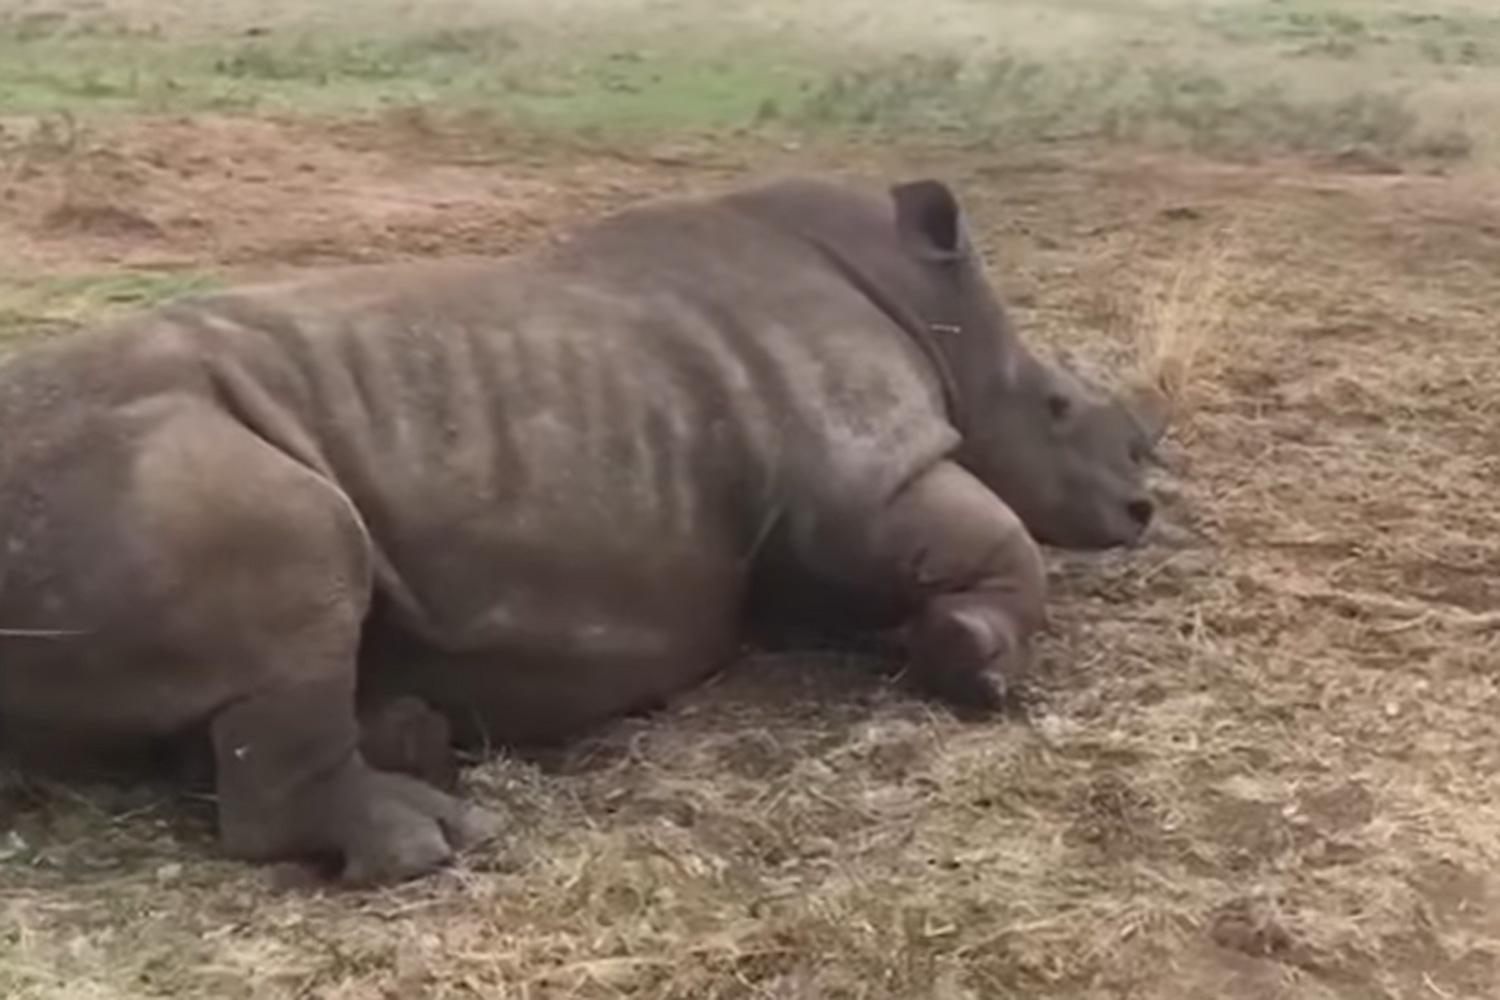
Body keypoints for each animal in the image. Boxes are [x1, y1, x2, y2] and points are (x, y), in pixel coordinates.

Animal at [0, 176, 1164, 884]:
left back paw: (416, 731)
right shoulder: (865, 473)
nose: (1145, 506)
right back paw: (439, 834)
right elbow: (1002, 539)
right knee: (302, 551)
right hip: (122, 469)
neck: (936, 320)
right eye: (1059, 407)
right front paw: (969, 661)